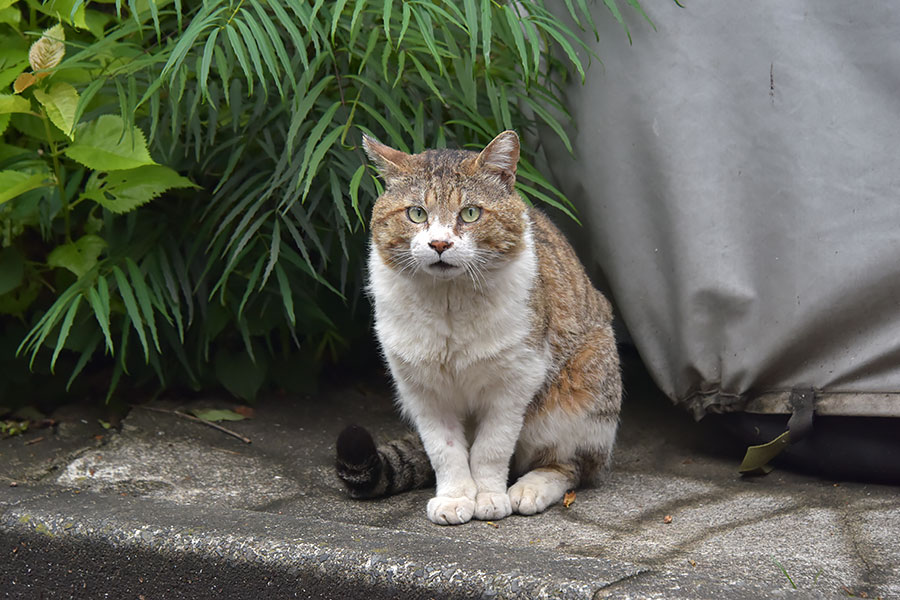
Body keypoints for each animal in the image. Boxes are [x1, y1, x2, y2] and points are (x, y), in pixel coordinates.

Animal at [334, 131, 624, 524]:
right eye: (416, 213)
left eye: (470, 213)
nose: (440, 243)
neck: (448, 303)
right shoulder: (422, 389)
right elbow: (444, 450)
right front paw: (456, 497)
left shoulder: (515, 380)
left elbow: (491, 448)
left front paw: (488, 497)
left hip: (583, 389)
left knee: (570, 465)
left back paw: (530, 489)